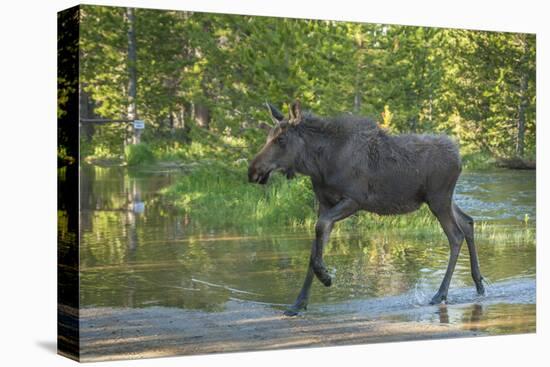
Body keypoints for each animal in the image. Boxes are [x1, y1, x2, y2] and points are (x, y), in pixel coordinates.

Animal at [250, 100, 488, 316]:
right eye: (267, 137)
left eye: (281, 139)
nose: (252, 170)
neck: (319, 165)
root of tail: (459, 158)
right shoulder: (324, 204)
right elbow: (314, 249)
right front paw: (299, 303)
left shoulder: (354, 200)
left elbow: (319, 228)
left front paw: (326, 277)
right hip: (444, 199)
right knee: (468, 221)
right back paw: (479, 284)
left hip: (438, 199)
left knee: (455, 235)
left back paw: (441, 294)